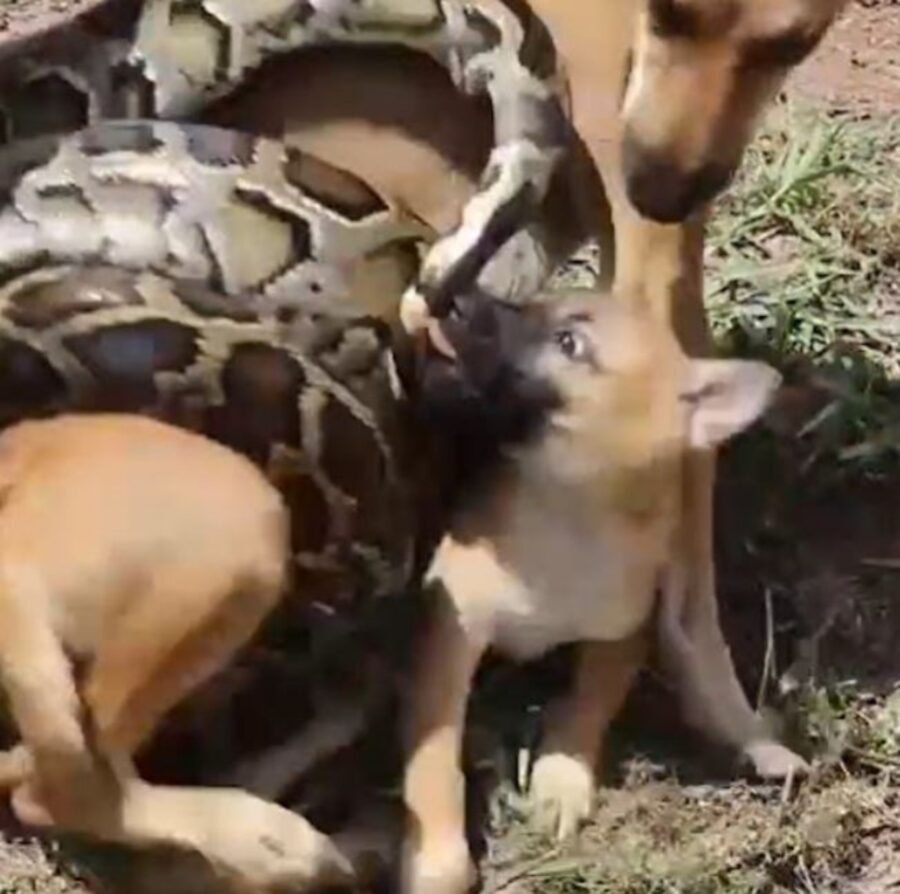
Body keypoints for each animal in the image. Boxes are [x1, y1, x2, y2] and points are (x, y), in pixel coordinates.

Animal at [400, 288, 780, 894]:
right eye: (530, 304)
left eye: (569, 343)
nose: (455, 296)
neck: (566, 516)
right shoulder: (450, 629)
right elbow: (434, 757)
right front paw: (437, 856)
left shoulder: (625, 633)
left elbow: (589, 703)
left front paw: (562, 776)